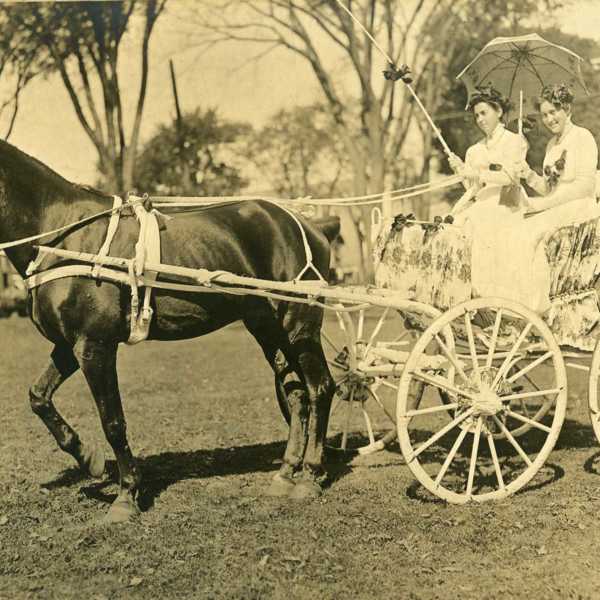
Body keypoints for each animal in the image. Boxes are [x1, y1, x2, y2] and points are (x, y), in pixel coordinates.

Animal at [0, 139, 338, 520]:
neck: (64, 235)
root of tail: (313, 226)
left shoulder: (95, 345)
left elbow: (113, 421)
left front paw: (126, 496)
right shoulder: (71, 346)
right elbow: (38, 397)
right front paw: (89, 458)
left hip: (299, 326)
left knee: (320, 388)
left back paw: (309, 475)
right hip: (268, 329)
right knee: (297, 394)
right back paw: (286, 472)